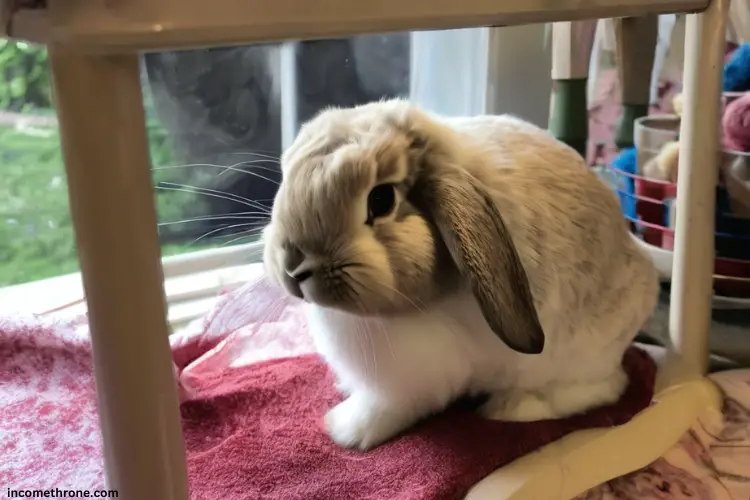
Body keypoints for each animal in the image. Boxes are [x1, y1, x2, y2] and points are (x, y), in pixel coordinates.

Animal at [262, 97, 660, 450]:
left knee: (600, 388)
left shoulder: (413, 379)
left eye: (381, 200)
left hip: (578, 359)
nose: (294, 269)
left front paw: (345, 431)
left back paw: (509, 409)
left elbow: (389, 407)